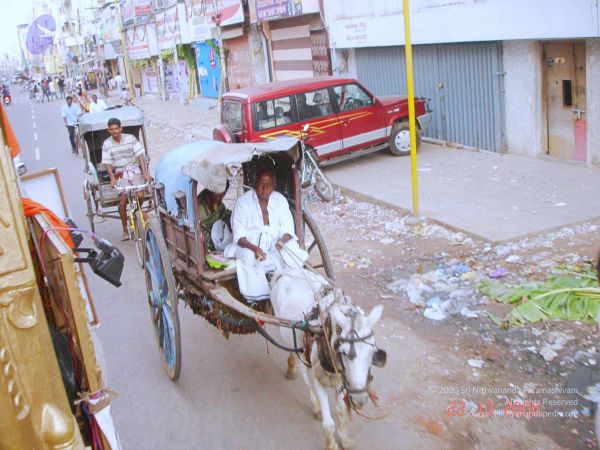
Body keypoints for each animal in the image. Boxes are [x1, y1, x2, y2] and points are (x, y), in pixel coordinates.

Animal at [270, 268, 386, 448]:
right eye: (344, 352)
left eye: (372, 351)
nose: (360, 400)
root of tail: (285, 271)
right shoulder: (321, 381)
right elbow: (328, 422)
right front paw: (331, 444)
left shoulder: (342, 379)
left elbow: (340, 412)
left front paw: (344, 439)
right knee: (304, 372)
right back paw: (313, 402)